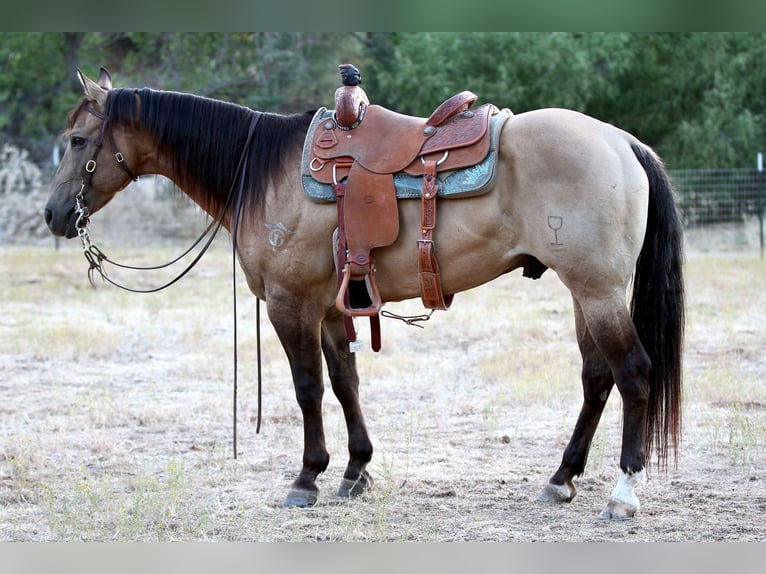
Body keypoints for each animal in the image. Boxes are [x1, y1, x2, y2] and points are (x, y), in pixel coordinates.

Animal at [44, 67, 684, 520]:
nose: (52, 215)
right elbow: (345, 383)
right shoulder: (330, 308)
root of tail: (622, 142)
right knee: (597, 378)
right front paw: (356, 472)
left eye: (76, 138)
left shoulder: (290, 304)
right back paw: (561, 479)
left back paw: (624, 493)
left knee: (633, 373)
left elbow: (307, 389)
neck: (265, 171)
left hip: (598, 292)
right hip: (585, 294)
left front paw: (307, 477)